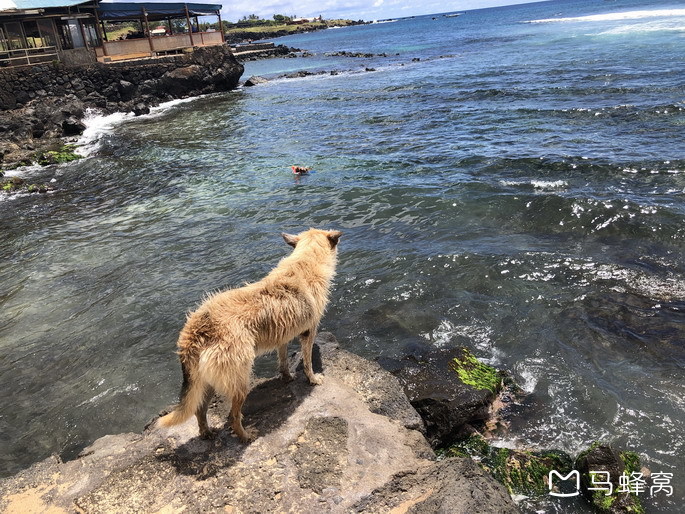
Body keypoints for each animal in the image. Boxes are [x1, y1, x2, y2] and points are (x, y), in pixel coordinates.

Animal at [156, 228, 340, 440]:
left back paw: (207, 433)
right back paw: (245, 436)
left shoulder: (282, 336)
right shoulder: (309, 332)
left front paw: (286, 377)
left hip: (205, 380)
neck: (305, 261)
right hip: (239, 380)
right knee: (233, 417)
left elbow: (283, 359)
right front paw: (313, 379)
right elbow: (308, 361)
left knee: (199, 409)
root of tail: (196, 331)